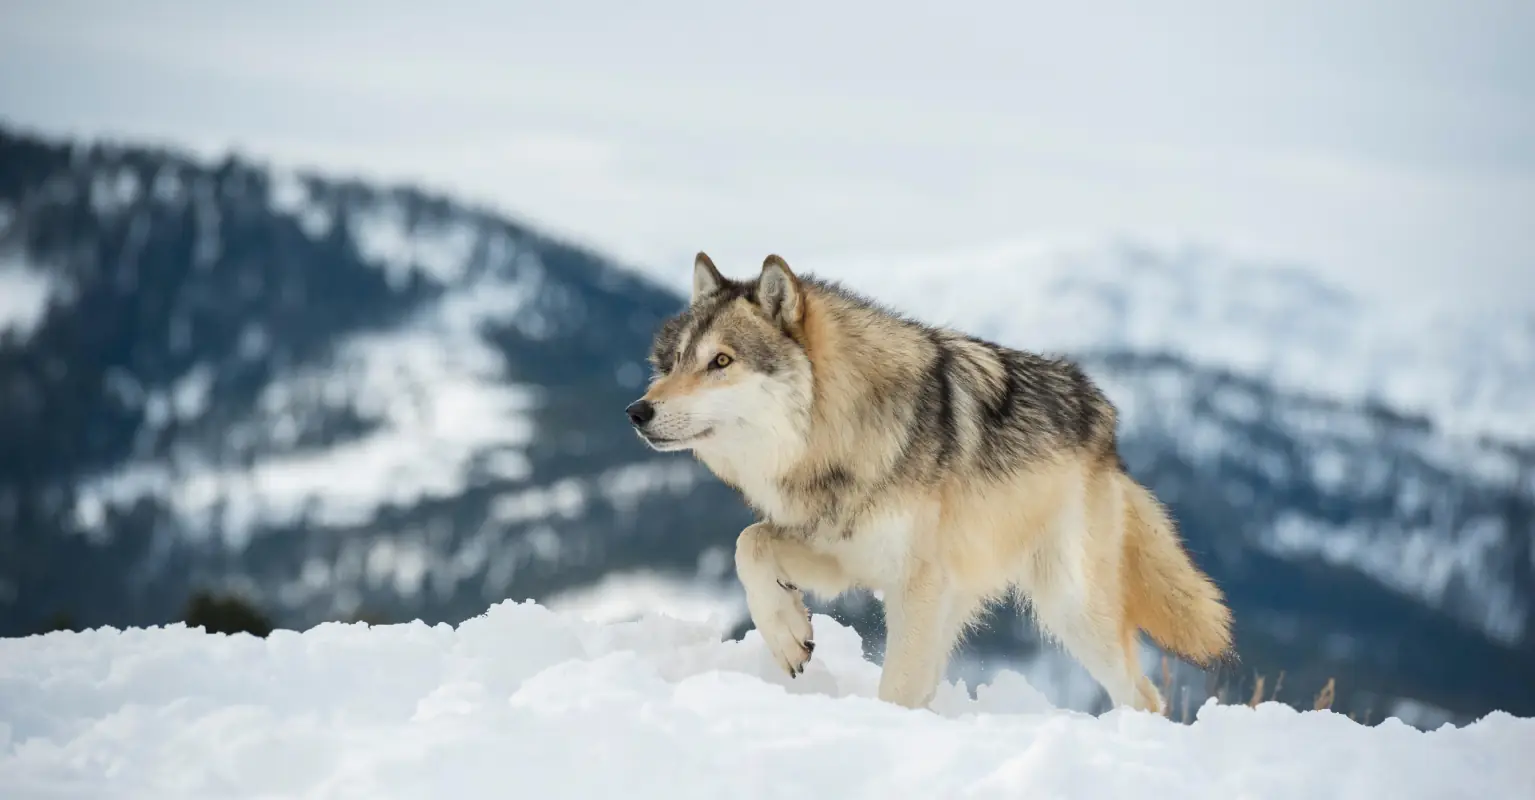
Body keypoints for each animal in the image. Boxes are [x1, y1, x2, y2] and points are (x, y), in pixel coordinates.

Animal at [624, 252, 1233, 712]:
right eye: (673, 362)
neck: (840, 436)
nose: (636, 412)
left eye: (721, 361)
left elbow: (894, 689)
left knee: (1143, 694)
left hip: (1069, 607)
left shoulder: (912, 583)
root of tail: (1105, 425)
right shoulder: (846, 557)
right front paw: (788, 635)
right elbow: (748, 543)